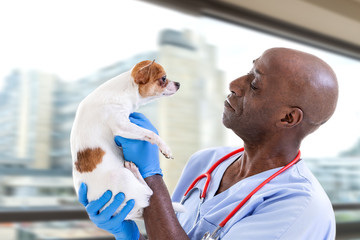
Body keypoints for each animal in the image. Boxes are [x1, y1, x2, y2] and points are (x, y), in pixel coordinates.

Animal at [71, 60, 180, 219]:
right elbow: (151, 134)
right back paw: (135, 171)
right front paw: (165, 148)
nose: (178, 83)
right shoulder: (122, 126)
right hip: (121, 176)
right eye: (164, 78)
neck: (123, 91)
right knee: (149, 191)